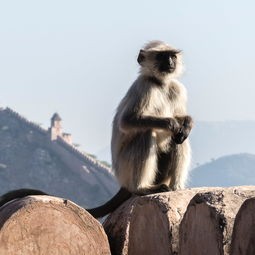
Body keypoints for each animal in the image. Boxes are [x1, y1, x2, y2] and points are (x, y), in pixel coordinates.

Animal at [0, 40, 193, 218]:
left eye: (172, 55)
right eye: (162, 56)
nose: (170, 62)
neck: (160, 84)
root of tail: (123, 182)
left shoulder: (177, 88)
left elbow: (182, 120)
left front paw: (187, 123)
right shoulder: (144, 88)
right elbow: (128, 121)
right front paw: (170, 123)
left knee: (179, 139)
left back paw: (176, 186)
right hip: (125, 169)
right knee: (146, 133)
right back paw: (142, 187)